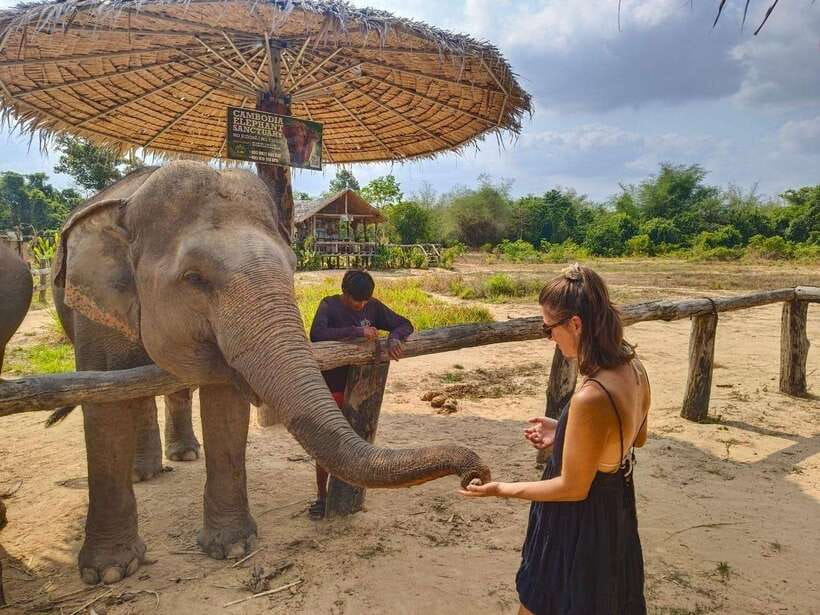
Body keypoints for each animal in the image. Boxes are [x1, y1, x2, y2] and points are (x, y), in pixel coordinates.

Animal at [51, 161, 490, 586]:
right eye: (193, 278)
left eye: (293, 266)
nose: (476, 475)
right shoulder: (93, 305)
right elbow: (103, 405)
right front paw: (110, 573)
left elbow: (225, 403)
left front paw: (232, 548)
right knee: (128, 391)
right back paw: (145, 474)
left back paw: (180, 457)